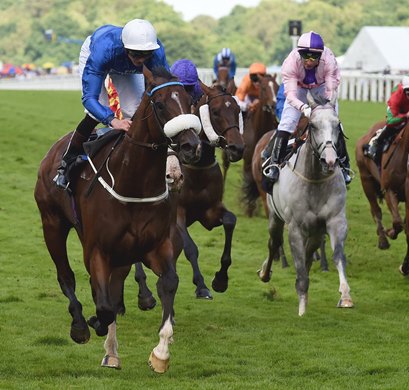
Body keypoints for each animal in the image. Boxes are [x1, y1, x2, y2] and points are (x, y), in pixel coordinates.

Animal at [33, 67, 202, 372]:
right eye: (160, 104)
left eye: (189, 102)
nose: (190, 146)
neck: (133, 181)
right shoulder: (98, 250)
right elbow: (104, 306)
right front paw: (92, 322)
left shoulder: (156, 246)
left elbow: (168, 283)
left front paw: (161, 352)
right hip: (52, 224)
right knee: (66, 276)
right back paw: (81, 326)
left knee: (113, 285)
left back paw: (111, 350)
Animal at [134, 80, 244, 304]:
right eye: (216, 111)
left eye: (238, 110)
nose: (237, 148)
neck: (197, 167)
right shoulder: (179, 213)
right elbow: (191, 247)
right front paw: (201, 286)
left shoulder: (210, 212)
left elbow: (230, 221)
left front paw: (221, 279)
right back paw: (145, 294)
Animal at [256, 93, 352, 316]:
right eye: (313, 125)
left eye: (337, 125)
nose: (330, 160)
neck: (315, 180)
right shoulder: (295, 228)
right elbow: (299, 264)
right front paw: (301, 309)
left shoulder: (335, 221)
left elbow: (337, 256)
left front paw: (345, 296)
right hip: (275, 217)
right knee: (274, 242)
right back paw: (265, 272)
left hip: (316, 230)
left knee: (309, 252)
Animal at [352, 119, 406, 250]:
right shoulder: (388, 189)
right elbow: (397, 223)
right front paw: (389, 232)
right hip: (366, 179)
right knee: (376, 210)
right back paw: (382, 240)